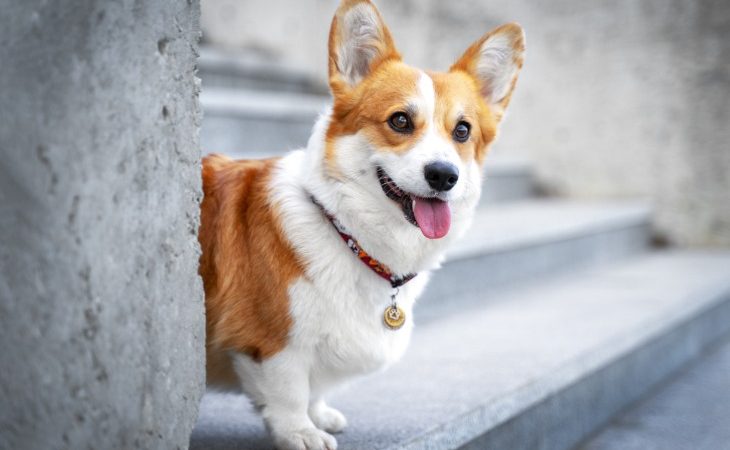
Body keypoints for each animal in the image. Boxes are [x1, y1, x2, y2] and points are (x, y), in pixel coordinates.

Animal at [196, 1, 520, 448]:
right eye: (400, 121)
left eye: (462, 130)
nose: (444, 175)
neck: (345, 230)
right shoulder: (271, 344)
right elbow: (289, 392)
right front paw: (301, 432)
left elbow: (313, 390)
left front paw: (319, 415)